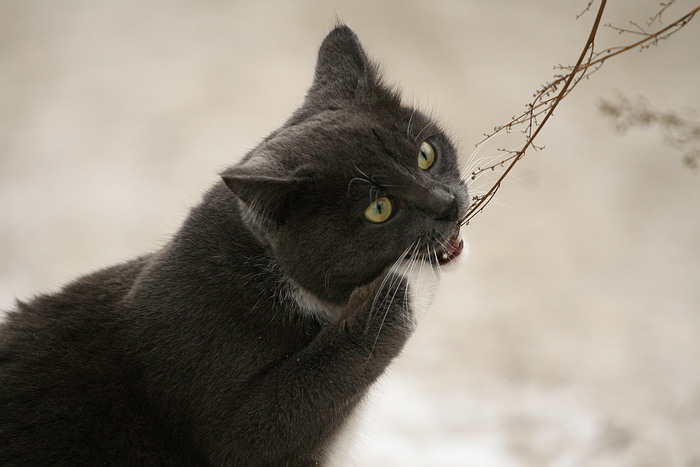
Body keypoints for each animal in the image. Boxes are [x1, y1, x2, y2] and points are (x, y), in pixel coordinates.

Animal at [1, 26, 470, 467]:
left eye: (425, 153)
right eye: (379, 209)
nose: (448, 203)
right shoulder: (216, 390)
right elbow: (269, 420)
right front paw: (407, 275)